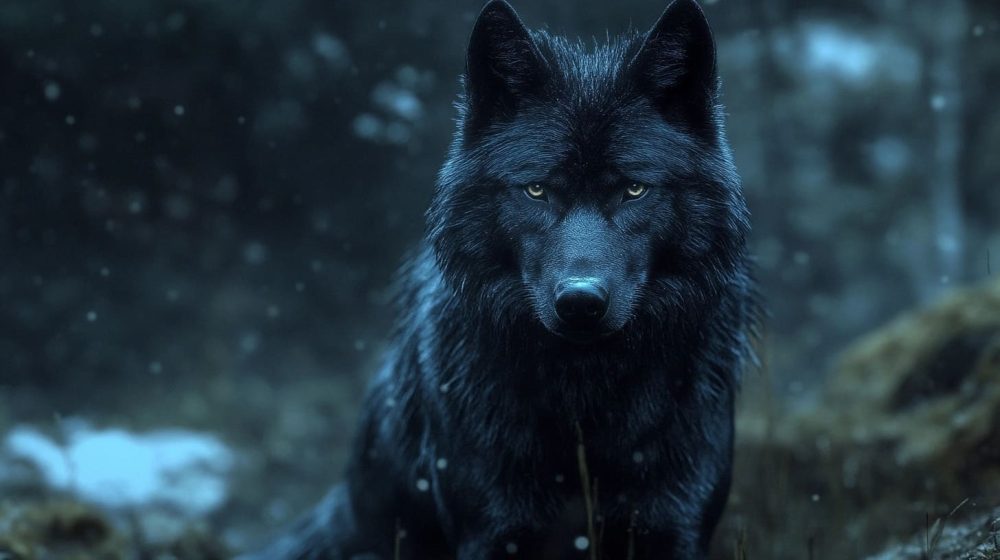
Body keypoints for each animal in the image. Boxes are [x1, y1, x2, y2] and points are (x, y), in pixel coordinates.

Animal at [244, 0, 758, 558]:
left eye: (634, 190)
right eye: (536, 190)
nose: (580, 302)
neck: (584, 405)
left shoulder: (672, 521)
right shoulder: (493, 528)